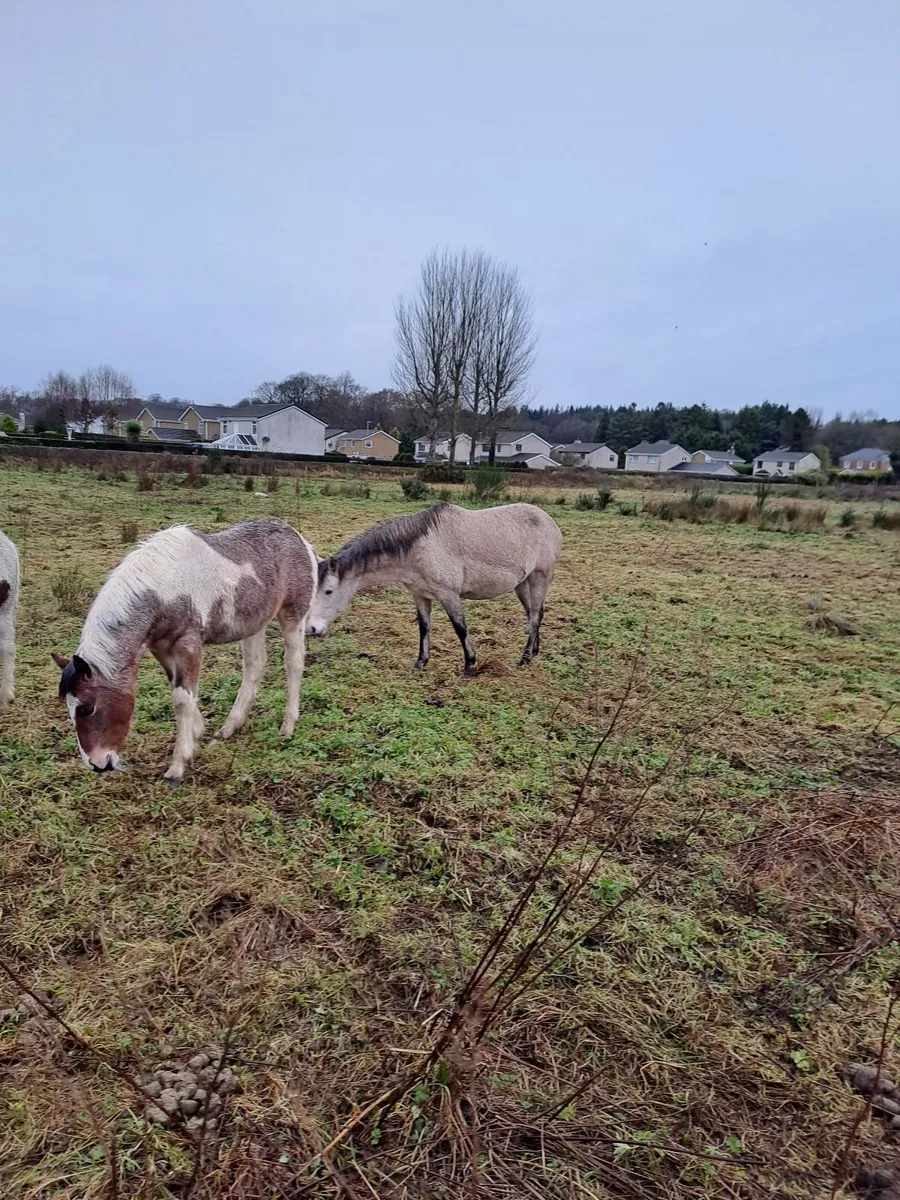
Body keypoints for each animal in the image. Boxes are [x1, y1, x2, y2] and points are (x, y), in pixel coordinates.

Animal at [52, 518, 317, 785]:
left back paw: (287, 727)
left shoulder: (188, 646)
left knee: (293, 663)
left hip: (293, 614)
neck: (164, 587)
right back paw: (227, 730)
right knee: (255, 666)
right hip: (253, 623)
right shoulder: (162, 648)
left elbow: (181, 700)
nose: (98, 764)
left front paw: (177, 767)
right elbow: (182, 692)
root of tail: (299, 539)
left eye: (87, 708)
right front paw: (197, 734)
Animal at [309, 502, 562, 673]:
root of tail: (548, 520)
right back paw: (535, 650)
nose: (311, 629)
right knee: (533, 613)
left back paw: (525, 658)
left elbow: (460, 628)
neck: (419, 548)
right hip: (522, 584)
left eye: (328, 591)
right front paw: (421, 662)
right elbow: (424, 627)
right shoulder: (420, 595)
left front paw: (470, 664)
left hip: (540, 577)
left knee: (535, 617)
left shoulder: (449, 595)